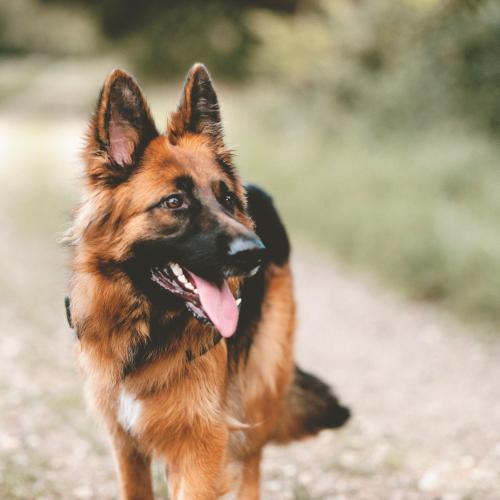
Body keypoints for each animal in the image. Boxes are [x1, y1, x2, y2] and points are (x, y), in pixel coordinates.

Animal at [65, 63, 348, 500]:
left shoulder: (201, 446)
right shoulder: (126, 444)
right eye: (174, 202)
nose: (255, 253)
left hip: (257, 388)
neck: (148, 334)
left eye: (227, 199)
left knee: (252, 463)